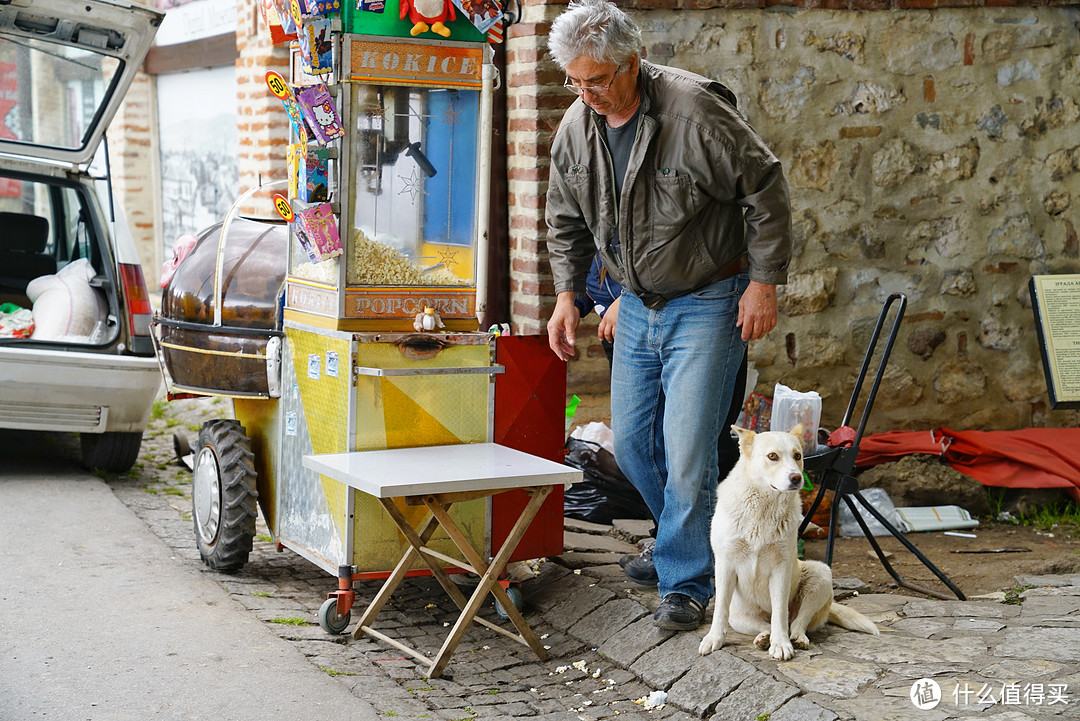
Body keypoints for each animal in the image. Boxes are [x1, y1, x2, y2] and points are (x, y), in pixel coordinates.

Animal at [695, 425, 881, 660]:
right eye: (772, 456)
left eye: (798, 456)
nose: (796, 478)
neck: (763, 509)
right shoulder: (725, 564)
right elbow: (719, 609)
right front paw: (714, 639)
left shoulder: (781, 569)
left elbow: (780, 614)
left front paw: (781, 644)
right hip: (739, 618)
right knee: (764, 625)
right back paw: (763, 638)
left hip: (821, 574)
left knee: (796, 623)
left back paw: (795, 638)